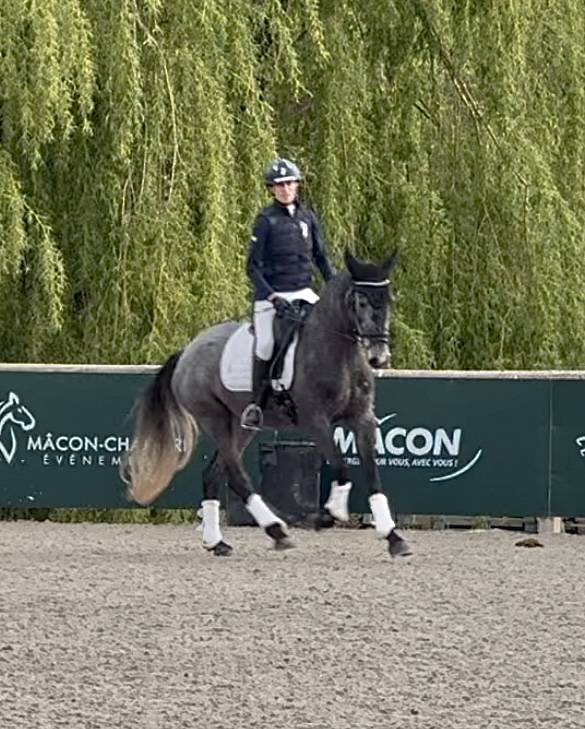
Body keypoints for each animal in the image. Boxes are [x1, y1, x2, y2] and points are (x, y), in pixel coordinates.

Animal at [122, 252, 412, 558]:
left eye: (390, 300)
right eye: (361, 302)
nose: (379, 357)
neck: (338, 353)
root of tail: (187, 351)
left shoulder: (362, 418)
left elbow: (372, 474)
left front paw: (393, 536)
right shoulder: (317, 422)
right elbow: (342, 466)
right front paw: (328, 514)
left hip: (242, 425)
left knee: (214, 473)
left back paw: (217, 542)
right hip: (213, 418)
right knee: (236, 475)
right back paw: (276, 530)